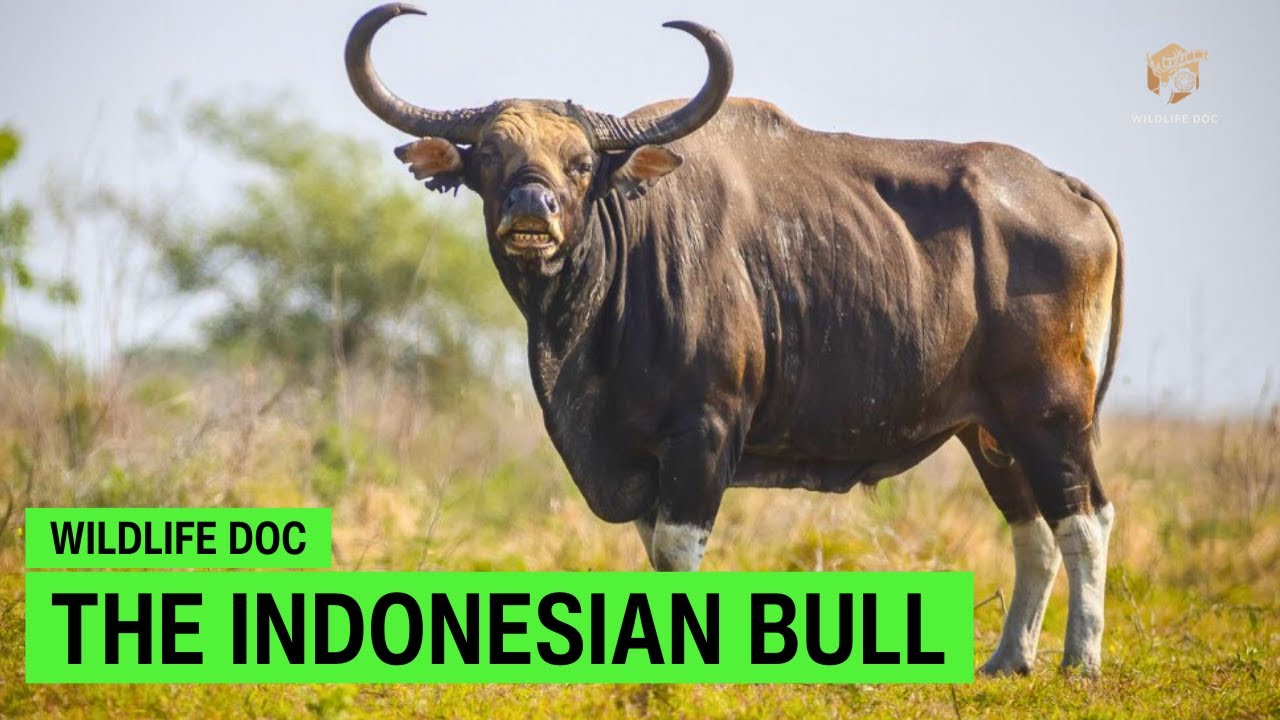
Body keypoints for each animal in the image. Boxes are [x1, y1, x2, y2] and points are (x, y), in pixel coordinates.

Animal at [347, 3, 1124, 677]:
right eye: (489, 156)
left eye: (580, 162)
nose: (532, 208)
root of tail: (1061, 186)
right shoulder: (642, 456)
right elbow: (653, 556)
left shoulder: (705, 434)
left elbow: (678, 554)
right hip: (989, 431)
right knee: (1033, 529)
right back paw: (1008, 660)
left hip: (1050, 413)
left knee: (1085, 519)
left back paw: (1080, 661)